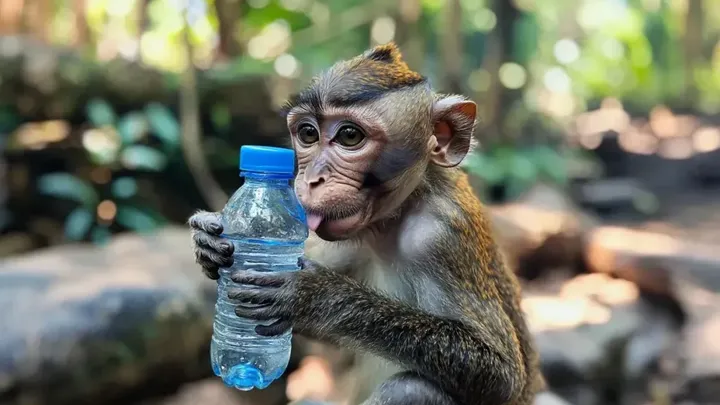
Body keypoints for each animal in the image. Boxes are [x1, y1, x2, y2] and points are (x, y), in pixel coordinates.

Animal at [189, 42, 543, 405]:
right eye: (308, 133)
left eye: (349, 136)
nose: (312, 179)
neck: (394, 218)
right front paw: (208, 244)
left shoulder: (441, 236)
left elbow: (502, 376)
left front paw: (318, 297)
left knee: (412, 388)